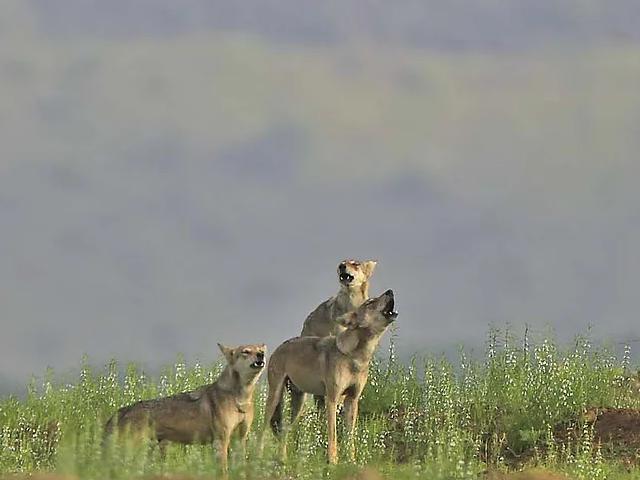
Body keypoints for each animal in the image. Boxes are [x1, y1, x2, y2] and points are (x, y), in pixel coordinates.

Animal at [105, 344, 264, 472]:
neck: (240, 399)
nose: (261, 355)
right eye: (246, 351)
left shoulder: (240, 439)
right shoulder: (221, 441)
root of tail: (121, 411)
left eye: (260, 350)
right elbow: (223, 472)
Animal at [260, 290, 396, 464]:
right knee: (263, 430)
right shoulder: (331, 399)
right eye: (370, 302)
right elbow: (333, 435)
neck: (355, 358)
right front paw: (333, 461)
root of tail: (280, 346)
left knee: (284, 430)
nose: (390, 291)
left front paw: (351, 461)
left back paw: (282, 460)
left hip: (298, 404)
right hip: (275, 398)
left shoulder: (352, 400)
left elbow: (350, 437)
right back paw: (256, 457)